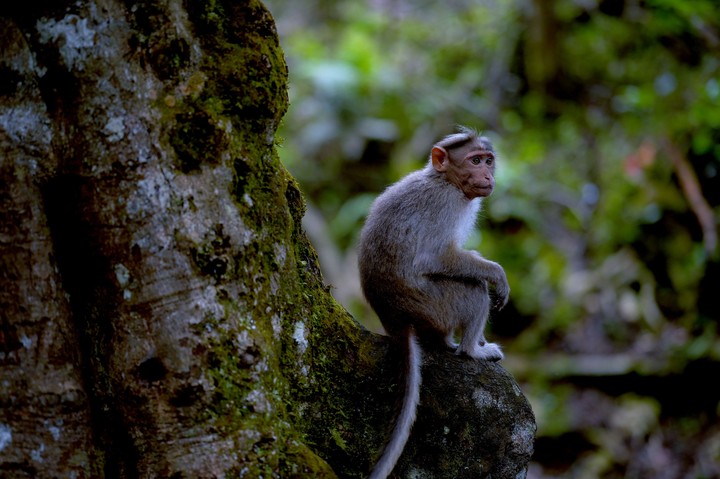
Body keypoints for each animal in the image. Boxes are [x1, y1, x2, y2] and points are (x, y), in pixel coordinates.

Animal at [357, 126, 509, 479]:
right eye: (475, 160)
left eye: (488, 160)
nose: (487, 175)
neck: (445, 180)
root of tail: (395, 320)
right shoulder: (446, 204)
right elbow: (436, 257)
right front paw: (496, 273)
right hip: (433, 305)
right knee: (473, 290)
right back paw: (471, 350)